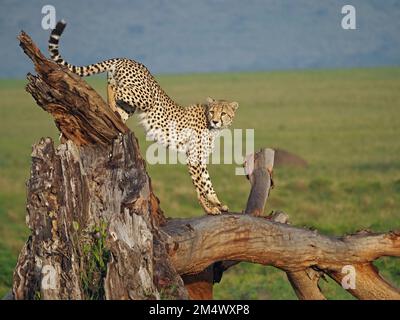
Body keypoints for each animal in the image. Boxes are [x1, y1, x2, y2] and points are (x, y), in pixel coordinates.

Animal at [48, 20, 239, 215]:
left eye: (223, 113)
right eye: (212, 112)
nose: (215, 120)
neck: (212, 127)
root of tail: (127, 59)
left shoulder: (200, 158)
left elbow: (208, 184)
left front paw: (218, 203)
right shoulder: (193, 157)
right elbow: (201, 186)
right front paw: (210, 208)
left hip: (129, 103)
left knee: (115, 93)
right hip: (145, 97)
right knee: (117, 89)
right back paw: (110, 102)